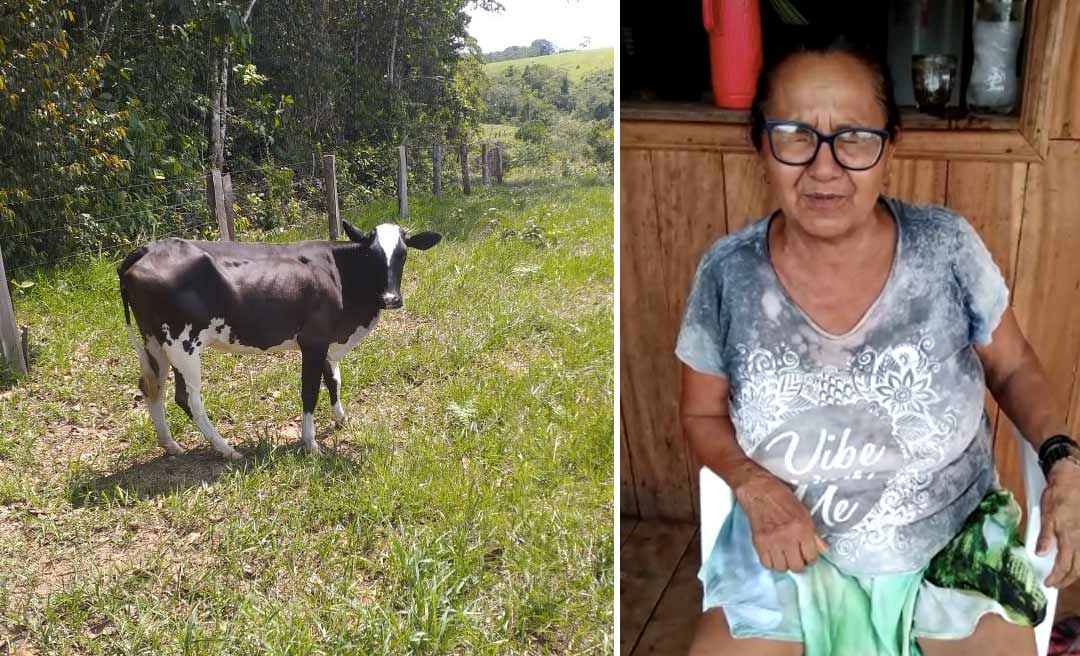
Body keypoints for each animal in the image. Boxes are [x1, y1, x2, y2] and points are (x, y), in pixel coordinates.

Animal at [117, 221, 441, 460]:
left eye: (403, 253)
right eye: (371, 255)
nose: (390, 299)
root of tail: (148, 248)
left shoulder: (326, 342)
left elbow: (333, 379)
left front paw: (340, 419)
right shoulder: (313, 341)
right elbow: (310, 391)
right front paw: (310, 444)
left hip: (154, 342)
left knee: (152, 388)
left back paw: (170, 444)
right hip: (182, 343)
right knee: (189, 398)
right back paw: (226, 449)